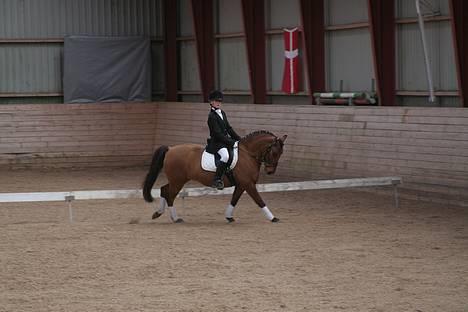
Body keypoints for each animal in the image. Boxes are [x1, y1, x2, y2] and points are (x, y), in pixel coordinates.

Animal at [143, 130, 288, 223]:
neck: (247, 154)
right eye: (274, 152)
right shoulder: (248, 184)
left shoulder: (241, 185)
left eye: (281, 153)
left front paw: (229, 217)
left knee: (164, 190)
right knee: (170, 195)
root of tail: (170, 149)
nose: (270, 171)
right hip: (178, 181)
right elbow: (259, 200)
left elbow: (234, 200)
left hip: (175, 180)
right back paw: (175, 218)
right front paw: (273, 218)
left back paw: (158, 213)